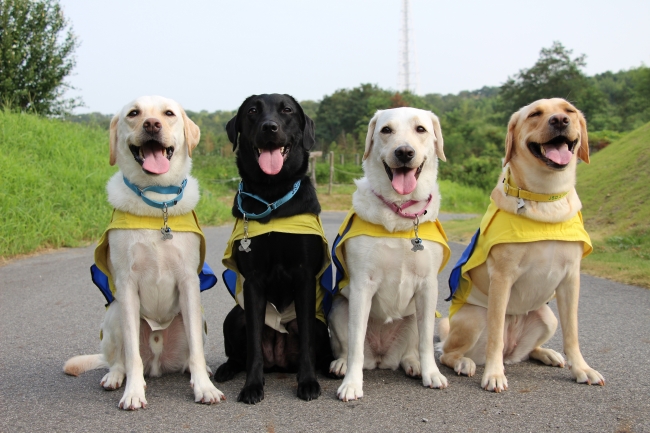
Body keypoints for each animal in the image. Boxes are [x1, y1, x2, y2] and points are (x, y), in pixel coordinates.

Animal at [64, 95, 225, 408]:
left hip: (196, 318)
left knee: (190, 354)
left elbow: (197, 352)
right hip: (114, 313)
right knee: (120, 359)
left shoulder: (189, 283)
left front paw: (204, 387)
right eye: (134, 113)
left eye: (169, 113)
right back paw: (115, 377)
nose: (152, 124)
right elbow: (132, 356)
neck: (156, 201)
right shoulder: (126, 285)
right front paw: (133, 393)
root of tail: (158, 363)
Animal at [326, 106, 448, 400]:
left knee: (412, 349)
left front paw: (431, 373)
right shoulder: (362, 285)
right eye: (386, 130)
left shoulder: (428, 286)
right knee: (348, 347)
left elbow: (427, 342)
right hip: (338, 306)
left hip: (414, 316)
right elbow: (355, 342)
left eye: (420, 129)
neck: (400, 213)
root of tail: (382, 357)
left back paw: (414, 364)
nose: (404, 152)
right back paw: (341, 364)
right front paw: (351, 384)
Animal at [438, 98, 604, 392]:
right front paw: (494, 374)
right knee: (450, 352)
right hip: (474, 318)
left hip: (547, 317)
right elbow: (495, 336)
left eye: (569, 110)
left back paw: (546, 353)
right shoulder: (502, 277)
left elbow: (572, 333)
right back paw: (465, 363)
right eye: (535, 114)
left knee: (525, 352)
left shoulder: (571, 278)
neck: (544, 198)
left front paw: (582, 369)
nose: (560, 120)